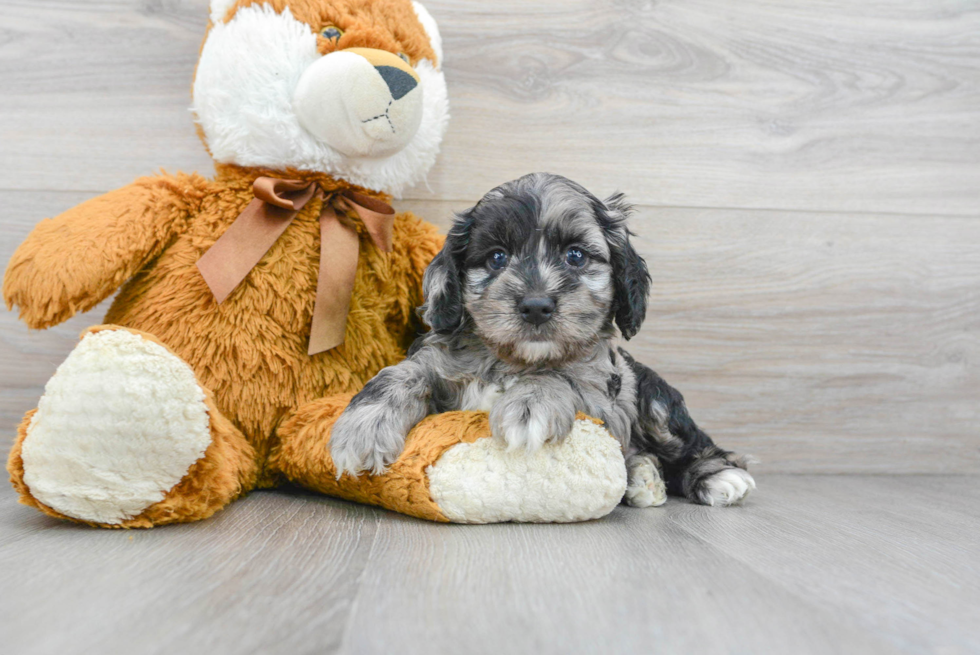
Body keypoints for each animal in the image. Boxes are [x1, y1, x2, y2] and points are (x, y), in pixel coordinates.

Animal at [334, 173, 756, 508]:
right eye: (497, 258)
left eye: (576, 256)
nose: (536, 306)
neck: (512, 360)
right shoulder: (441, 365)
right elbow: (402, 373)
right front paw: (363, 426)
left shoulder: (602, 398)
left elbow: (560, 374)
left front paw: (530, 403)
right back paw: (643, 476)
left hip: (655, 400)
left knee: (690, 443)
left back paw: (716, 476)